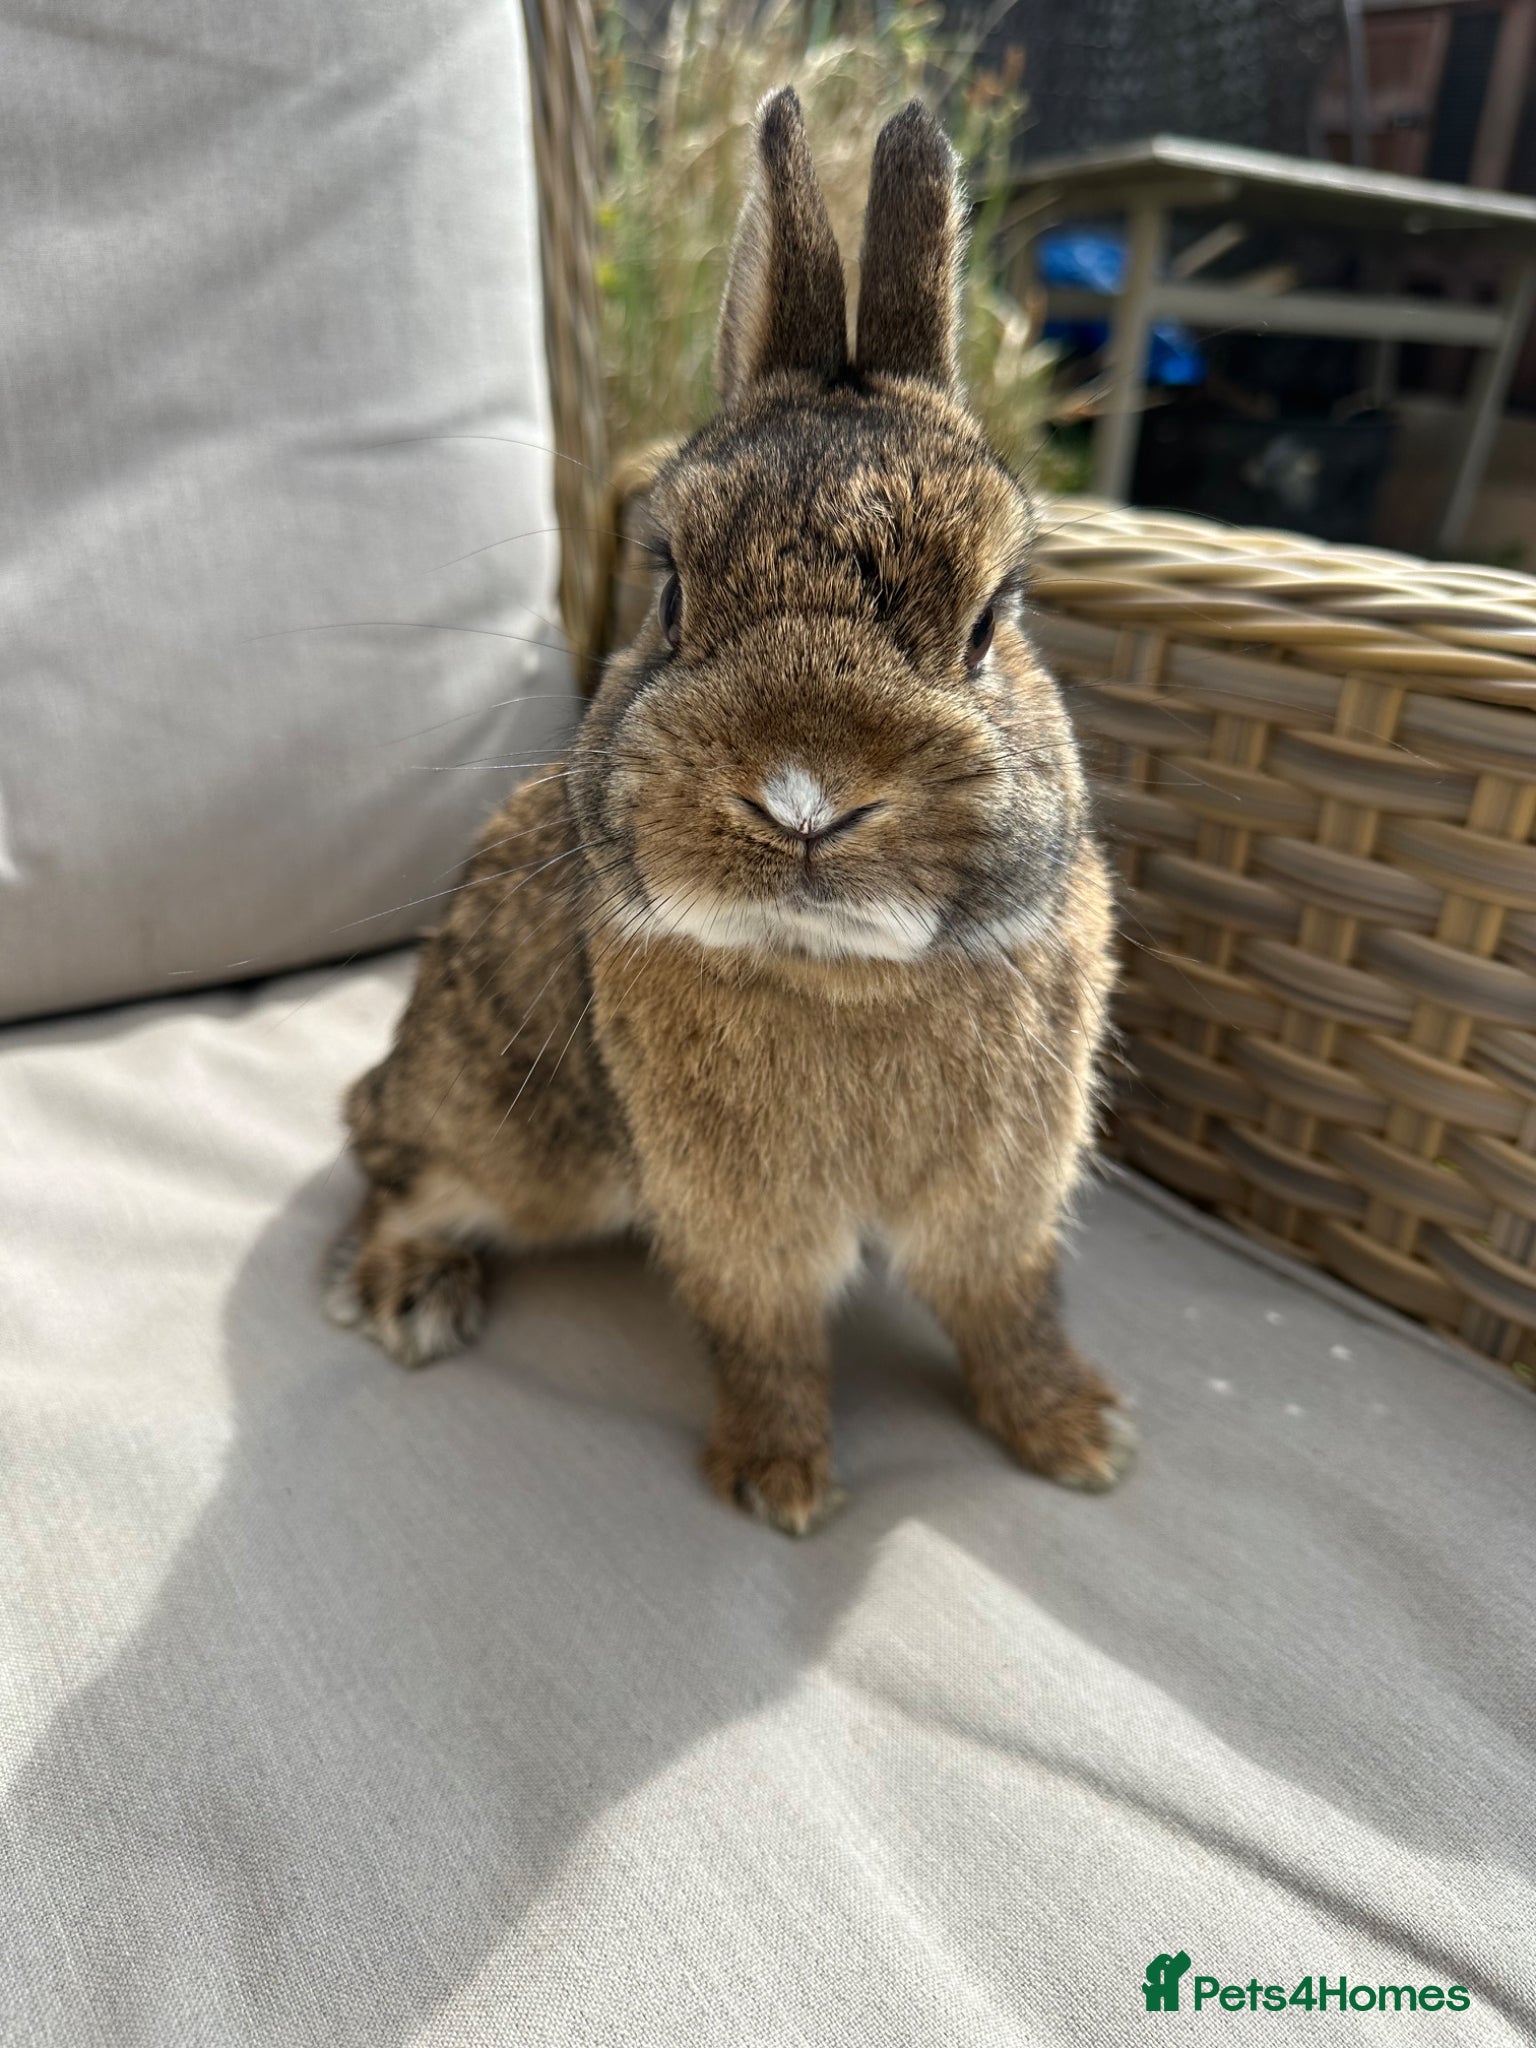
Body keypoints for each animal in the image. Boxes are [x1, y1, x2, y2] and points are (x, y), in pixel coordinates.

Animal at [325, 87, 1134, 1534]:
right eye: (670, 594)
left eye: (990, 622)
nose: (805, 797)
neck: (837, 973)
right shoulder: (740, 1223)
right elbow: (765, 1335)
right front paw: (780, 1481)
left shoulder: (1002, 1199)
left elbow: (1008, 1308)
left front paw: (1074, 1435)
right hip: (520, 1141)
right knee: (397, 1167)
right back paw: (413, 1295)